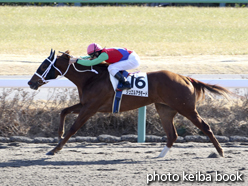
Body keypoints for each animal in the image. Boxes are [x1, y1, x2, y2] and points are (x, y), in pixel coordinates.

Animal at [27, 50, 231, 158]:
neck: (91, 78)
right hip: (165, 109)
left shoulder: (90, 108)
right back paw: (160, 155)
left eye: (43, 66)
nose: (30, 82)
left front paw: (55, 149)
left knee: (205, 127)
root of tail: (185, 78)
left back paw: (220, 152)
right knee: (172, 134)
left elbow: (73, 128)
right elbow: (63, 111)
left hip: (186, 108)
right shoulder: (85, 104)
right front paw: (58, 134)